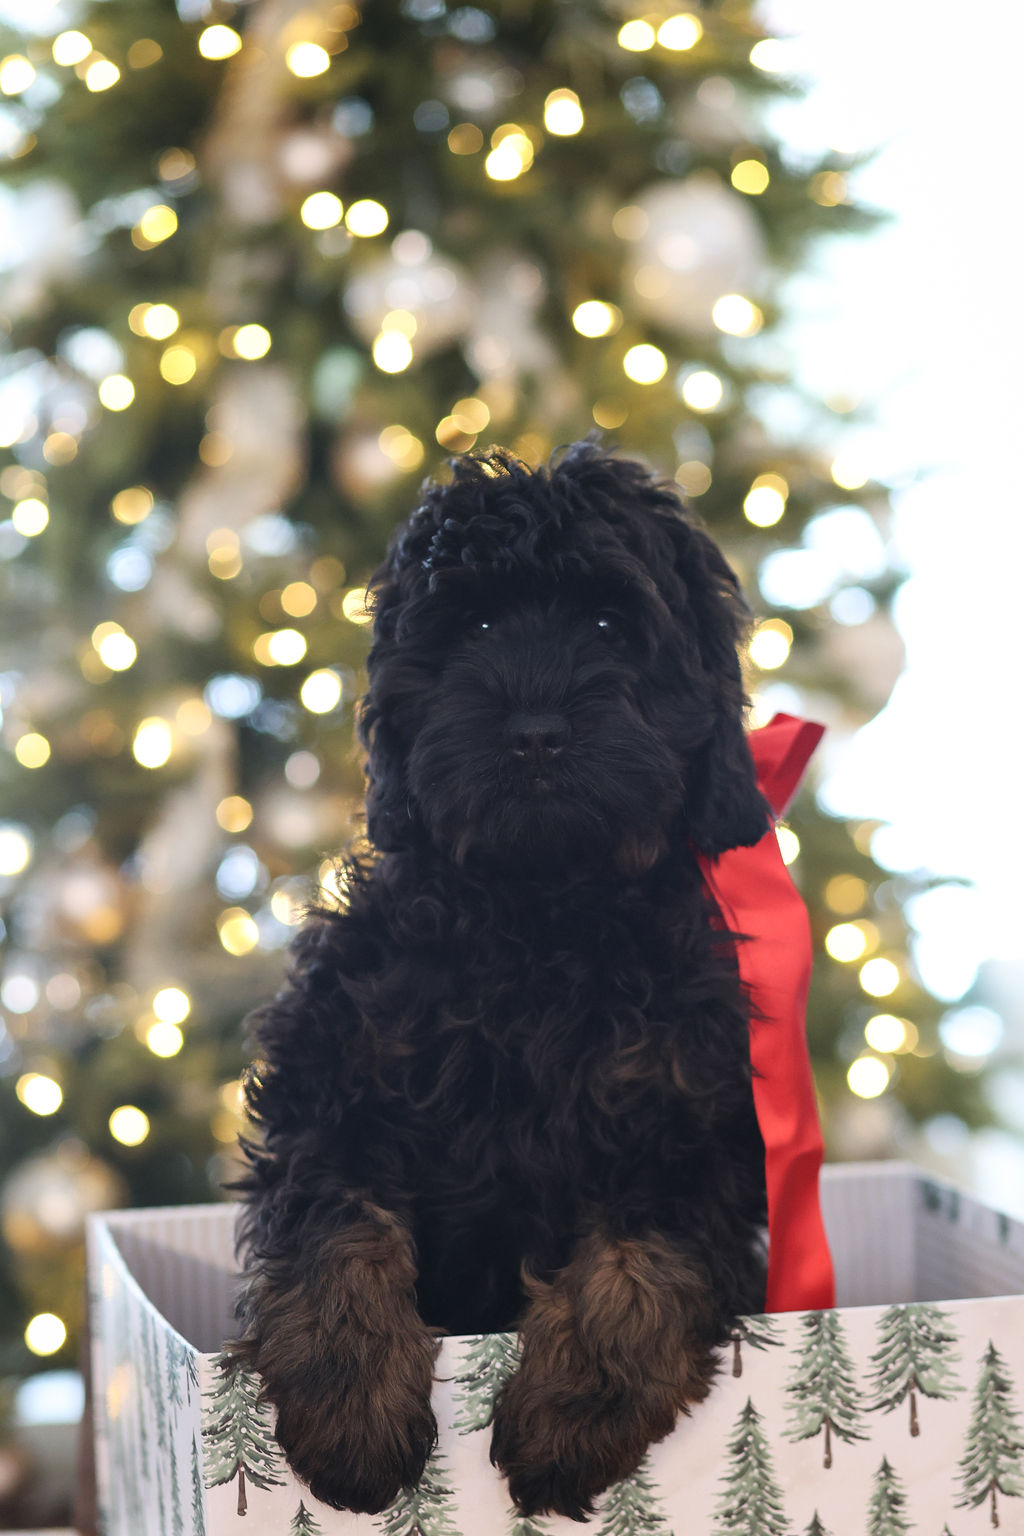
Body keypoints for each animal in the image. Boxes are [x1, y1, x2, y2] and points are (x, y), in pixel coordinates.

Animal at [234, 445, 767, 1523]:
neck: (537, 914)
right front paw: (349, 1401)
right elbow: (336, 1221)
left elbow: (639, 1260)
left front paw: (573, 1413)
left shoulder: (698, 1135)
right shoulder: (328, 1078)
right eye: (474, 627)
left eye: (609, 625)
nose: (533, 732)